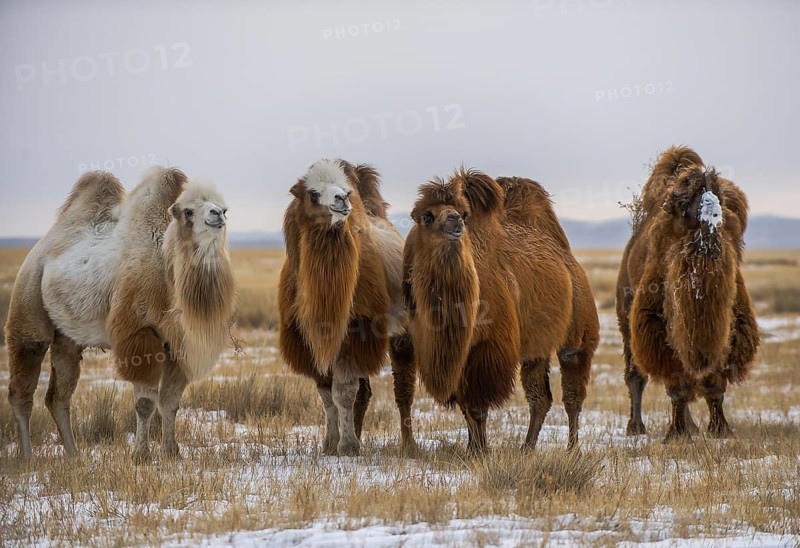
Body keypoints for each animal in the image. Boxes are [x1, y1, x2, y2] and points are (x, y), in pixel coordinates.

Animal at [5, 167, 235, 460]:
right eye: (188, 211)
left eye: (224, 208)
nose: (217, 215)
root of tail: (38, 250)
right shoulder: (139, 333)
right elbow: (146, 402)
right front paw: (141, 455)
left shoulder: (178, 342)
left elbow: (171, 402)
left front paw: (172, 452)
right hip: (28, 302)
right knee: (22, 385)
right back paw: (28, 456)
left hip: (66, 338)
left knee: (58, 395)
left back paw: (74, 456)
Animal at [278, 159, 414, 456]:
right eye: (313, 193)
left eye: (347, 191)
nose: (341, 200)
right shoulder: (309, 338)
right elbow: (326, 393)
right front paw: (330, 443)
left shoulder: (356, 330)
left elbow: (343, 392)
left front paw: (348, 445)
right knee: (365, 393)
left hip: (403, 331)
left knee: (403, 389)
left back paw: (408, 444)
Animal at [403, 168, 599, 452]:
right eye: (426, 216)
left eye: (463, 213)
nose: (454, 221)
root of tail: (569, 261)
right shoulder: (455, 352)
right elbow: (466, 405)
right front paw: (473, 448)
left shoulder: (488, 347)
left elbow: (476, 405)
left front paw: (481, 450)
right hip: (535, 346)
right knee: (540, 397)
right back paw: (527, 447)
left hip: (578, 330)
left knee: (572, 393)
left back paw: (572, 449)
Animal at [618, 146, 759, 440]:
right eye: (682, 207)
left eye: (723, 211)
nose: (710, 217)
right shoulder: (657, 327)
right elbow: (677, 385)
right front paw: (676, 434)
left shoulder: (726, 329)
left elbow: (714, 383)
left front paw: (721, 430)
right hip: (626, 317)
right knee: (636, 374)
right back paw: (635, 428)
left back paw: (692, 425)